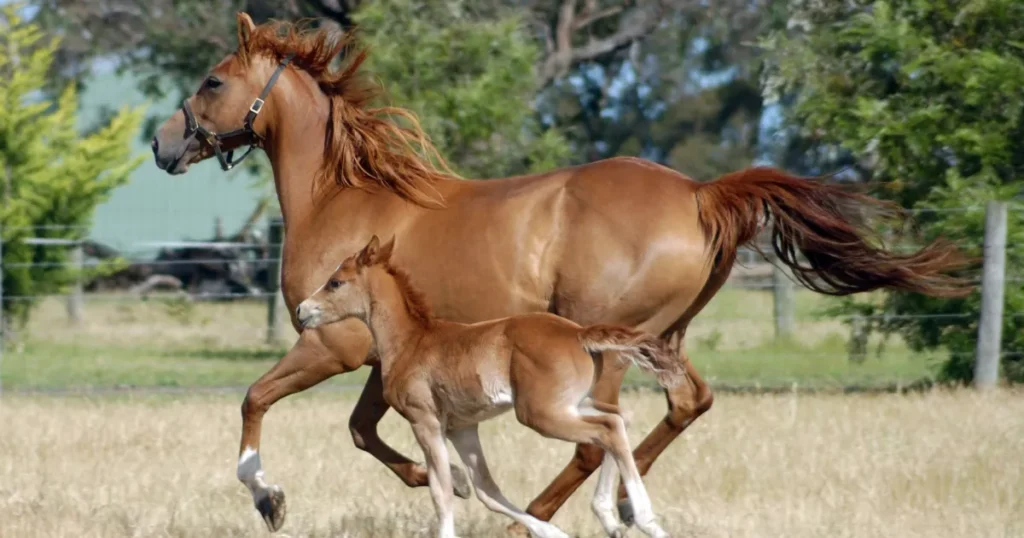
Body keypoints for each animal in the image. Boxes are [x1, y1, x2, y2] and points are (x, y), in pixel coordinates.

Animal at [292, 235, 684, 536]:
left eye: (335, 282)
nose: (301, 310)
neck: (411, 341)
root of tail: (578, 333)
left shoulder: (425, 422)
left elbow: (442, 492)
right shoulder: (462, 428)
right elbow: (486, 490)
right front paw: (551, 532)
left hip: (540, 413)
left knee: (606, 430)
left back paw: (644, 519)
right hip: (569, 404)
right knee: (619, 419)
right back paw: (614, 515)